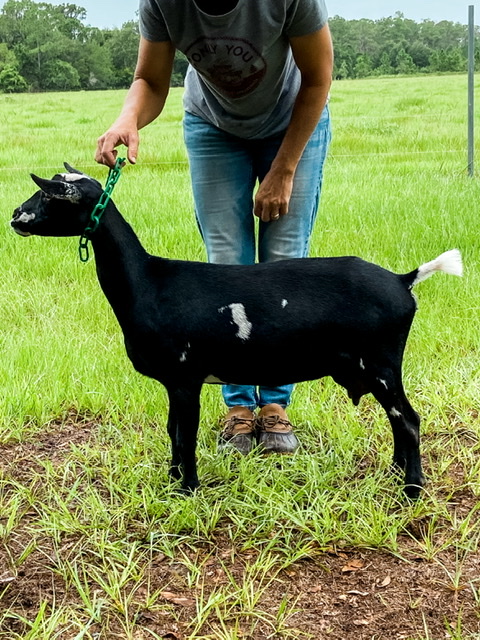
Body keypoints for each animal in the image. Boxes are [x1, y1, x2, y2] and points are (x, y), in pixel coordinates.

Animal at [10, 165, 462, 496]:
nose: (15, 216)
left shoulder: (186, 377)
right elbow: (172, 430)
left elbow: (185, 435)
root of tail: (403, 280)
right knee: (398, 421)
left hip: (382, 364)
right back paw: (395, 473)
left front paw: (187, 490)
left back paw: (411, 490)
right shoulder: (174, 382)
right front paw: (172, 479)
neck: (149, 281)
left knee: (408, 420)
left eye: (49, 194)